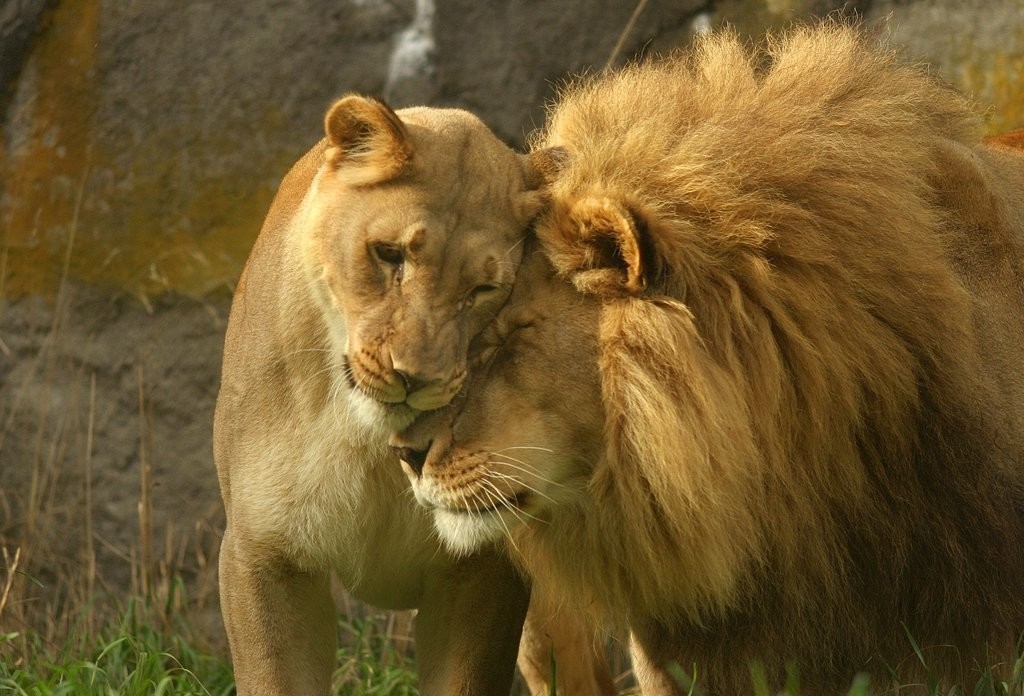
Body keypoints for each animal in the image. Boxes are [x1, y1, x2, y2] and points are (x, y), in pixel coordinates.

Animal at [215, 93, 610, 696]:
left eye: (483, 289)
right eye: (388, 254)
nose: (414, 377)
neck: (364, 443)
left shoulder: (481, 567)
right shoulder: (261, 554)